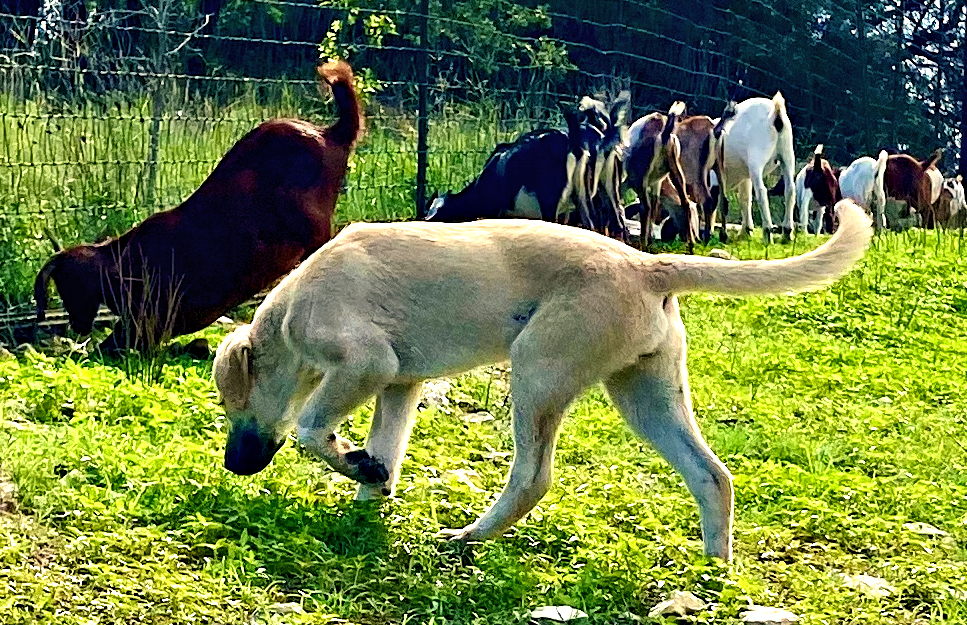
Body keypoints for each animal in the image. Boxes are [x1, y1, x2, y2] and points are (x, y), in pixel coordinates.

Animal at [35, 61, 364, 354]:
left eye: (67, 283)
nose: (77, 326)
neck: (117, 264)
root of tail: (330, 134)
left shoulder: (152, 313)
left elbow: (123, 338)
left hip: (308, 223)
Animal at [216, 200, 872, 560]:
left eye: (233, 407)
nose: (231, 466)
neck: (291, 309)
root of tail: (647, 263)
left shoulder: (365, 365)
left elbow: (310, 429)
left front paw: (350, 464)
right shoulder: (400, 384)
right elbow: (385, 453)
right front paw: (367, 490)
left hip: (535, 372)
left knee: (533, 478)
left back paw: (470, 538)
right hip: (647, 397)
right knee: (713, 477)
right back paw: (714, 572)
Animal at [716, 92, 796, 241]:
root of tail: (776, 114)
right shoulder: (745, 177)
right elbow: (745, 198)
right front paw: (746, 231)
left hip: (756, 158)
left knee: (761, 191)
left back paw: (767, 233)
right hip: (787, 154)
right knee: (790, 189)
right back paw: (787, 233)